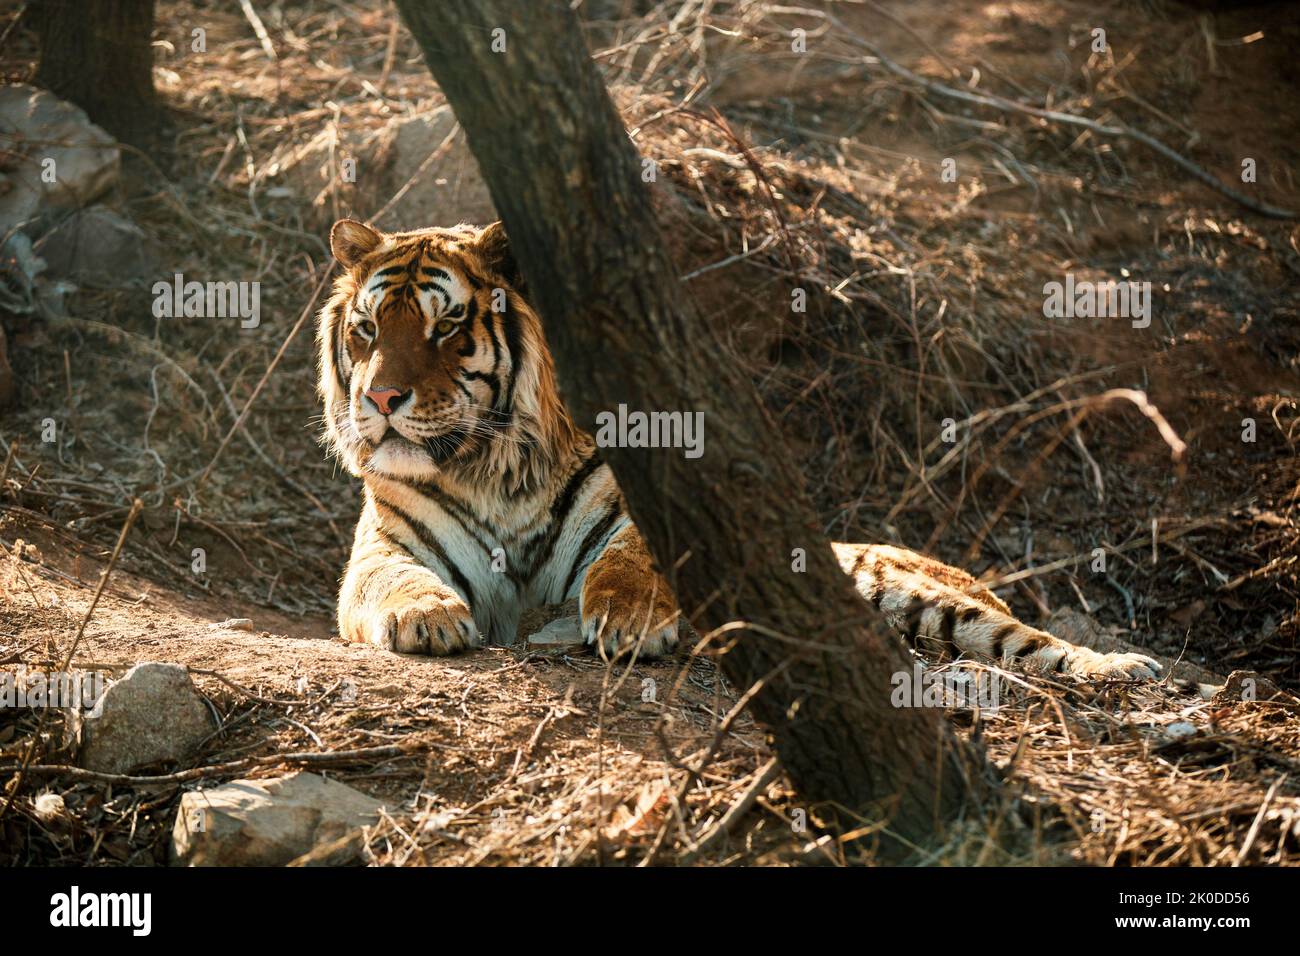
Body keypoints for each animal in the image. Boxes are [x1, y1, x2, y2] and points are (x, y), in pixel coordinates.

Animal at [314, 217, 1159, 681]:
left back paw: (1124, 669)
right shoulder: (384, 549)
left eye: (446, 326)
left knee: (1027, 640)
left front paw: (630, 620)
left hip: (919, 595)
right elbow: (393, 581)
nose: (381, 400)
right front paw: (428, 616)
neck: (491, 466)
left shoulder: (636, 515)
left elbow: (631, 560)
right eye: (368, 329)